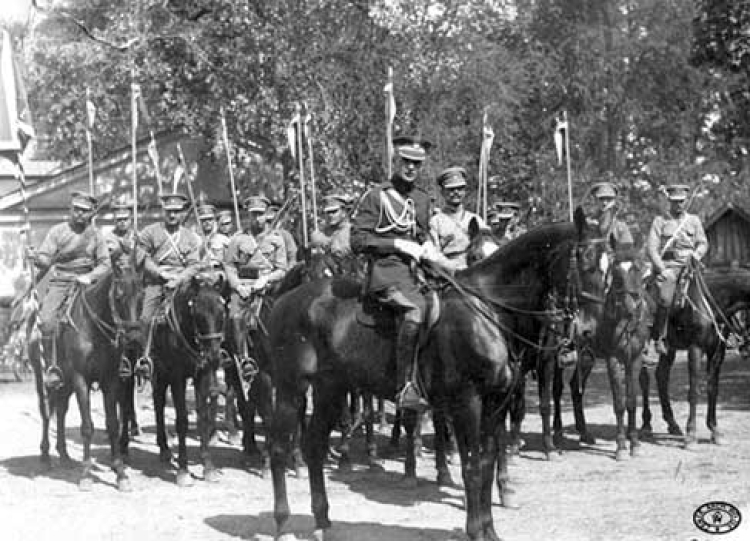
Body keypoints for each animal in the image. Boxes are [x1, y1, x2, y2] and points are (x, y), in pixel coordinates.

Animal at [28, 264, 144, 492]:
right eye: (119, 295)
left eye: (141, 295)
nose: (134, 338)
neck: (93, 328)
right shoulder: (81, 380)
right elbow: (87, 427)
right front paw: (86, 475)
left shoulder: (111, 381)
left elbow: (113, 424)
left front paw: (121, 473)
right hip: (43, 379)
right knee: (46, 413)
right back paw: (45, 456)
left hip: (65, 385)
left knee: (61, 411)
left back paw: (64, 455)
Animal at [148, 270, 226, 486]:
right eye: (198, 314)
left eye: (222, 312)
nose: (214, 357)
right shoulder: (177, 377)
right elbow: (182, 420)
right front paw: (183, 470)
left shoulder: (201, 375)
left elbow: (202, 417)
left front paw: (208, 467)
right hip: (158, 374)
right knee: (156, 404)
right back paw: (164, 449)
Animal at [270, 209, 604, 540]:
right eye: (583, 260)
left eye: (607, 265)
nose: (588, 331)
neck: (489, 309)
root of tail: (283, 301)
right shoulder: (468, 403)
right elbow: (472, 467)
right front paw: (475, 530)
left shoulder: (495, 404)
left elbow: (488, 463)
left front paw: (490, 530)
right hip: (290, 389)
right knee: (279, 448)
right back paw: (282, 523)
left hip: (330, 389)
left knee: (313, 445)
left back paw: (322, 521)